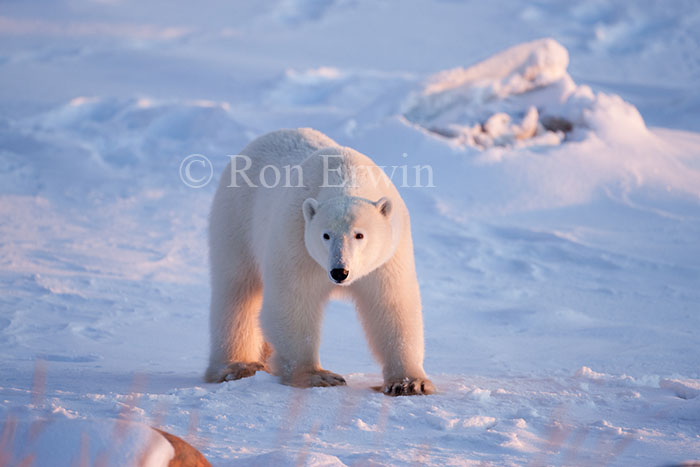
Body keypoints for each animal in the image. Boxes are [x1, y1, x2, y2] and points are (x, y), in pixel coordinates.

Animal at [204, 128, 434, 396]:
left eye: (359, 234)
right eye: (326, 235)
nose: (339, 272)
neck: (345, 175)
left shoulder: (388, 256)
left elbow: (392, 304)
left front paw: (409, 383)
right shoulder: (296, 238)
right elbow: (294, 300)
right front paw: (318, 375)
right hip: (236, 218)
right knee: (237, 291)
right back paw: (236, 366)